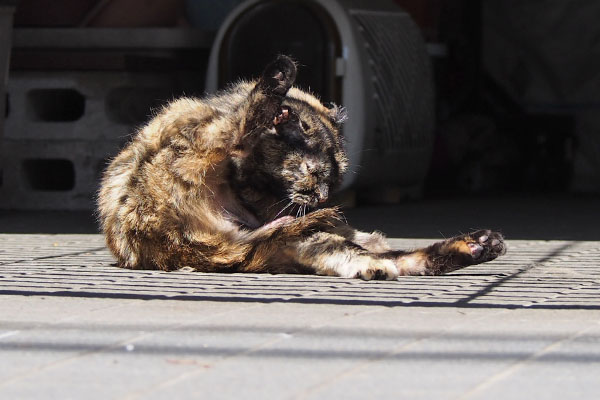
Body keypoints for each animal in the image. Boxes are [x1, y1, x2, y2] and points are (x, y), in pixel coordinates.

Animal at [97, 55, 502, 282]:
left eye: (333, 181)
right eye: (315, 172)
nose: (323, 198)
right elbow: (245, 128)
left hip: (299, 240)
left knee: (379, 254)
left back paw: (475, 246)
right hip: (192, 143)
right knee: (238, 127)